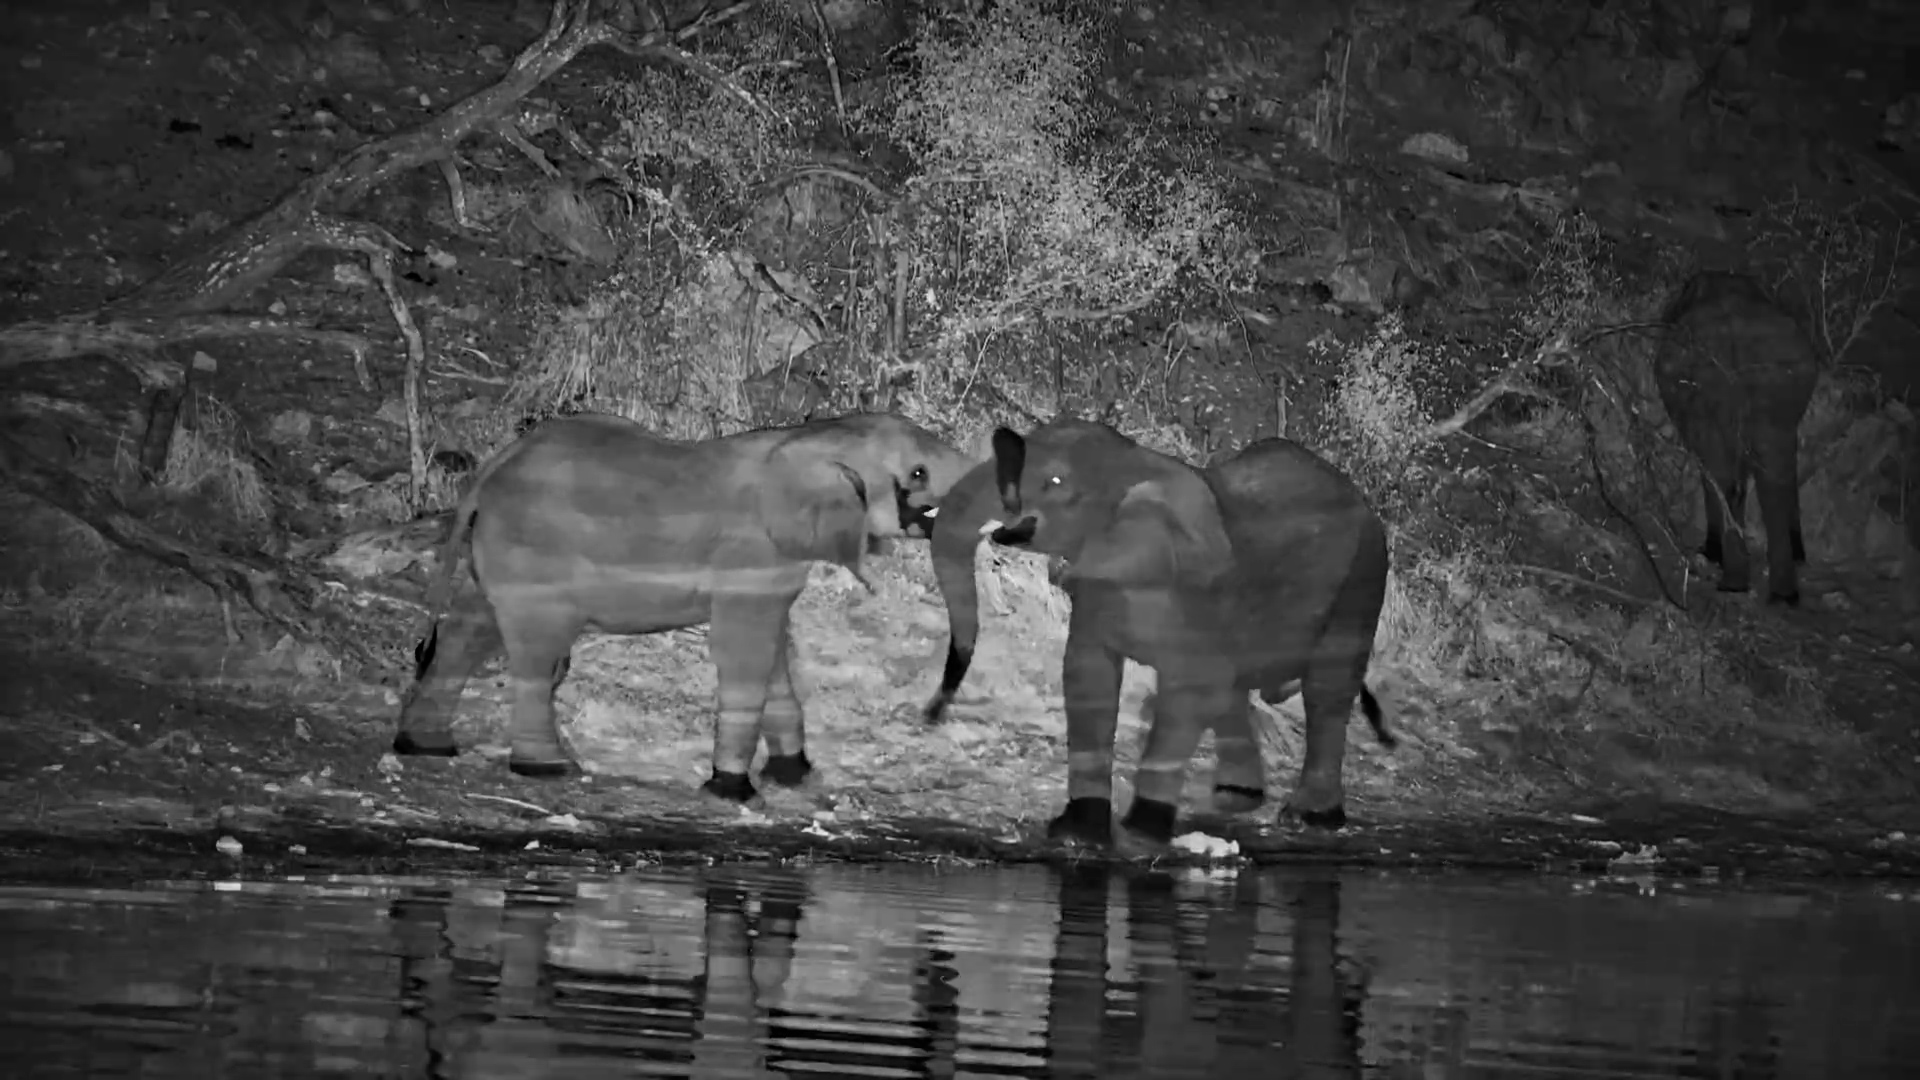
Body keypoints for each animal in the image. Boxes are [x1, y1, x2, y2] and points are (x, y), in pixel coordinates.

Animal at [392, 411, 975, 801]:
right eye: (918, 474)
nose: (931, 713)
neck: (809, 438)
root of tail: (488, 472)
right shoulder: (749, 554)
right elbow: (745, 653)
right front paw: (732, 790)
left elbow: (775, 654)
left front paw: (794, 775)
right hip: (535, 555)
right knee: (537, 651)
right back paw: (551, 768)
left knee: (471, 628)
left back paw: (425, 746)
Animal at [922, 417, 1396, 853]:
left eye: (1055, 482)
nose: (932, 712)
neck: (1135, 464)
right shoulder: (1102, 589)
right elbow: (1088, 676)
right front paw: (1078, 833)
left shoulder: (1194, 592)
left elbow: (1190, 690)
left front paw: (1141, 831)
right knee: (1236, 692)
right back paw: (1236, 797)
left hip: (1364, 577)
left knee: (1327, 691)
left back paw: (1309, 817)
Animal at [1654, 271, 1820, 606]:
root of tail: (1736, 337)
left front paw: (1711, 552)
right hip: (1772, 391)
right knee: (1772, 481)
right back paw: (1781, 590)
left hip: (1711, 391)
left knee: (1723, 478)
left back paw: (1732, 577)